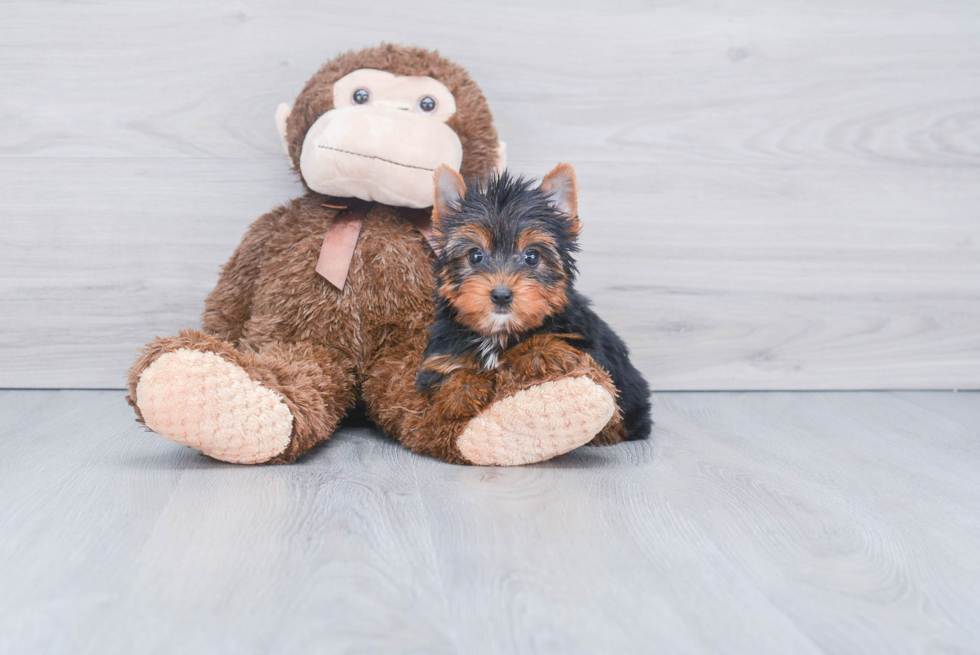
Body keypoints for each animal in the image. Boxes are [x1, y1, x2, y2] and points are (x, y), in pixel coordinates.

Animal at [414, 163, 652, 440]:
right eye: (475, 256)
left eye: (531, 256)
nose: (501, 295)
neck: (498, 333)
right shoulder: (437, 361)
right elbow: (449, 373)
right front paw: (461, 390)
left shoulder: (588, 347)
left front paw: (539, 350)